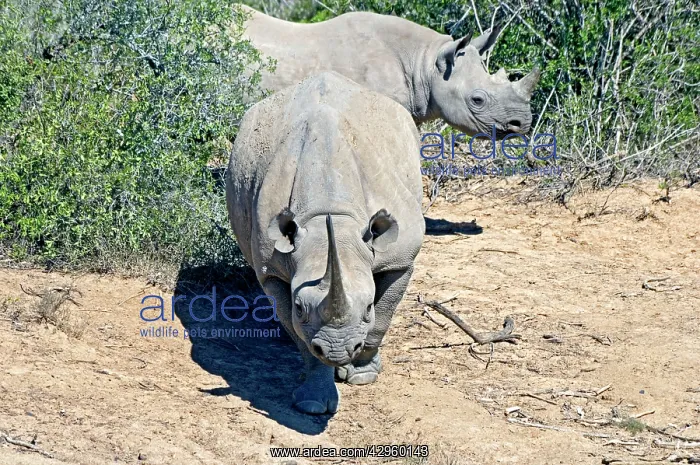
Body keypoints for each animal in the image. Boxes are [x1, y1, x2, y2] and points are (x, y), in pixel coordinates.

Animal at [225, 71, 425, 414]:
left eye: (368, 306)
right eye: (299, 307)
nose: (337, 350)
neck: (332, 215)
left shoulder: (401, 259)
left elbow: (383, 318)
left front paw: (361, 374)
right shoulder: (272, 271)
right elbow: (302, 337)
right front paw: (313, 403)